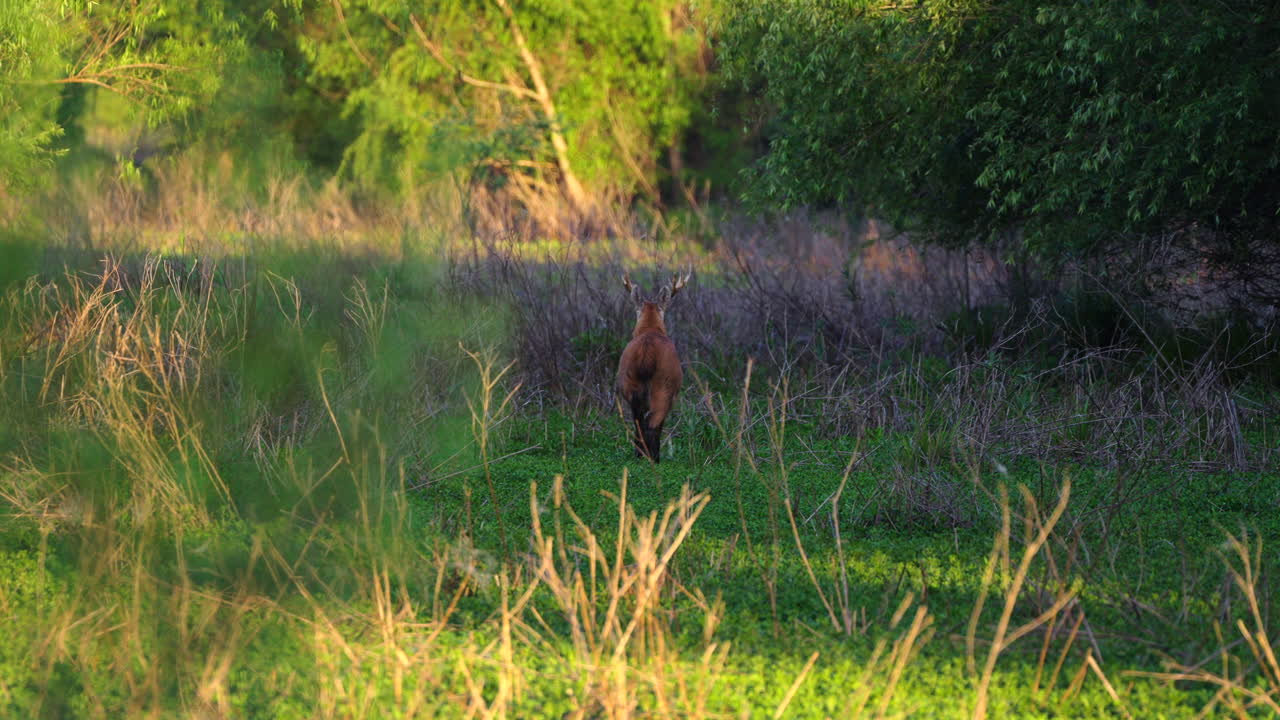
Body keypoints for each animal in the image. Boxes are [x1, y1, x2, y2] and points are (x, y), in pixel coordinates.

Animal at [616, 271, 690, 463]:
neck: (650, 329)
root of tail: (647, 352)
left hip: (630, 382)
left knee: (638, 420)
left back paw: (639, 455)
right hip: (664, 385)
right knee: (653, 421)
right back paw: (654, 459)